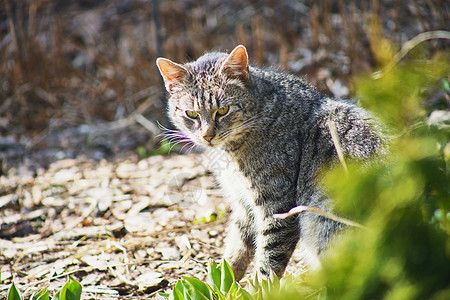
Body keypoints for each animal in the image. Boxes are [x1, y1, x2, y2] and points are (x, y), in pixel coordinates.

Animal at [156, 45, 386, 282]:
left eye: (223, 111)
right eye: (191, 114)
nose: (207, 136)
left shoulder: (277, 204)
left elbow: (269, 259)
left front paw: (258, 286)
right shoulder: (243, 204)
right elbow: (236, 249)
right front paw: (221, 282)